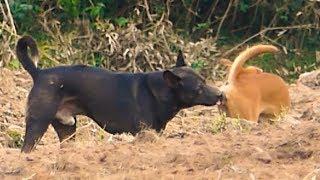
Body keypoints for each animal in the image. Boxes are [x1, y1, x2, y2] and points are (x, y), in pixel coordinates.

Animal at [16, 35, 222, 153]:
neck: (160, 92)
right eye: (199, 88)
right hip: (37, 124)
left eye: (205, 80)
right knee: (26, 149)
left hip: (67, 128)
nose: (220, 94)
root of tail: (39, 73)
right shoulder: (143, 134)